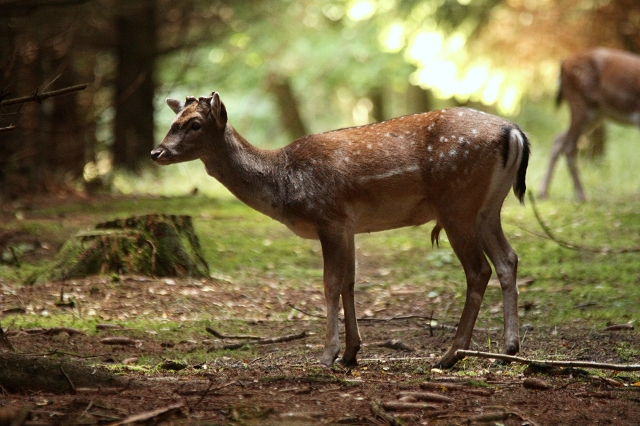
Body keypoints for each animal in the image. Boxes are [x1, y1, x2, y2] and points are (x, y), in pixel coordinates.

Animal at [150, 91, 528, 368]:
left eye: (195, 124)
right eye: (173, 121)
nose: (157, 152)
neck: (282, 184)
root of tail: (514, 132)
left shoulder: (328, 217)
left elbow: (330, 283)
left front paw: (327, 355)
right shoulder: (348, 226)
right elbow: (349, 281)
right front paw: (351, 352)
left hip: (457, 204)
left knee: (479, 270)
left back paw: (451, 355)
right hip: (487, 209)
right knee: (508, 259)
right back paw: (507, 350)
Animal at [540, 47, 640, 201]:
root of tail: (563, 63)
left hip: (596, 114)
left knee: (558, 139)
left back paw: (543, 193)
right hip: (580, 103)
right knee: (569, 145)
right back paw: (581, 195)